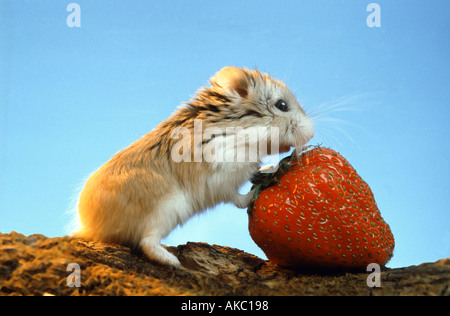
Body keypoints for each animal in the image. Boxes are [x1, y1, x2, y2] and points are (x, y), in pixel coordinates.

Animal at [74, 66, 312, 266]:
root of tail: (92, 228)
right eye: (282, 105)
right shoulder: (223, 176)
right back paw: (174, 262)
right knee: (147, 243)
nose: (311, 133)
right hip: (166, 210)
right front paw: (270, 177)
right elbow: (240, 200)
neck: (240, 128)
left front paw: (271, 168)